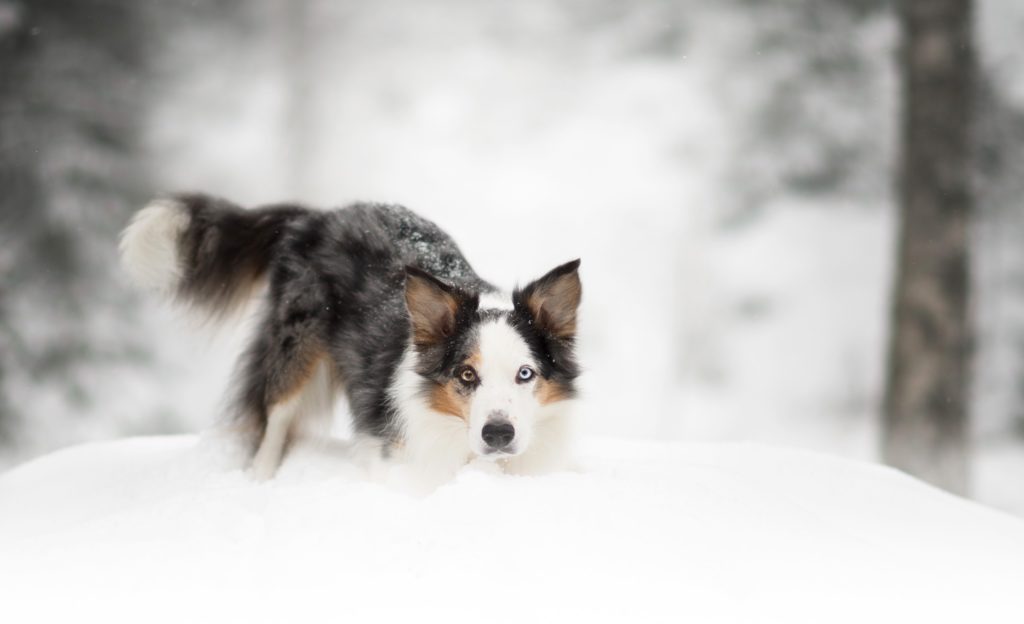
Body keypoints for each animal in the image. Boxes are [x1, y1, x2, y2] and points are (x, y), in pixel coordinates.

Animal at [118, 192, 581, 479]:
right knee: (275, 419)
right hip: (295, 348)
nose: (498, 434)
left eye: (525, 374)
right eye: (466, 375)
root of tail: (316, 216)